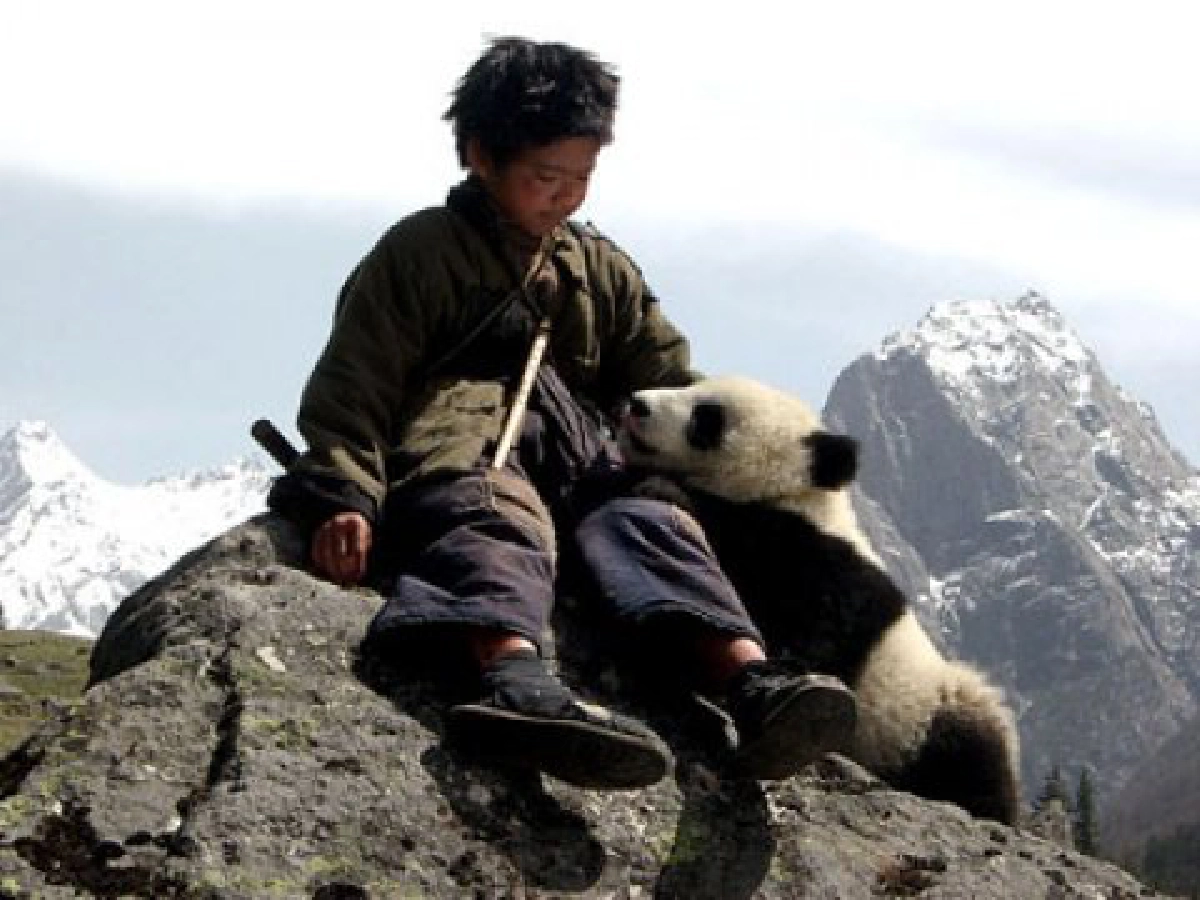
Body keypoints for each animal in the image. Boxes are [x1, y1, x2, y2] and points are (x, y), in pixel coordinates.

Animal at [616, 375, 1021, 825]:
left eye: (707, 418)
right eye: (689, 386)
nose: (637, 403)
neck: (797, 496)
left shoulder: (823, 564)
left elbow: (814, 626)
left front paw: (667, 491)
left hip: (930, 723)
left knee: (967, 761)